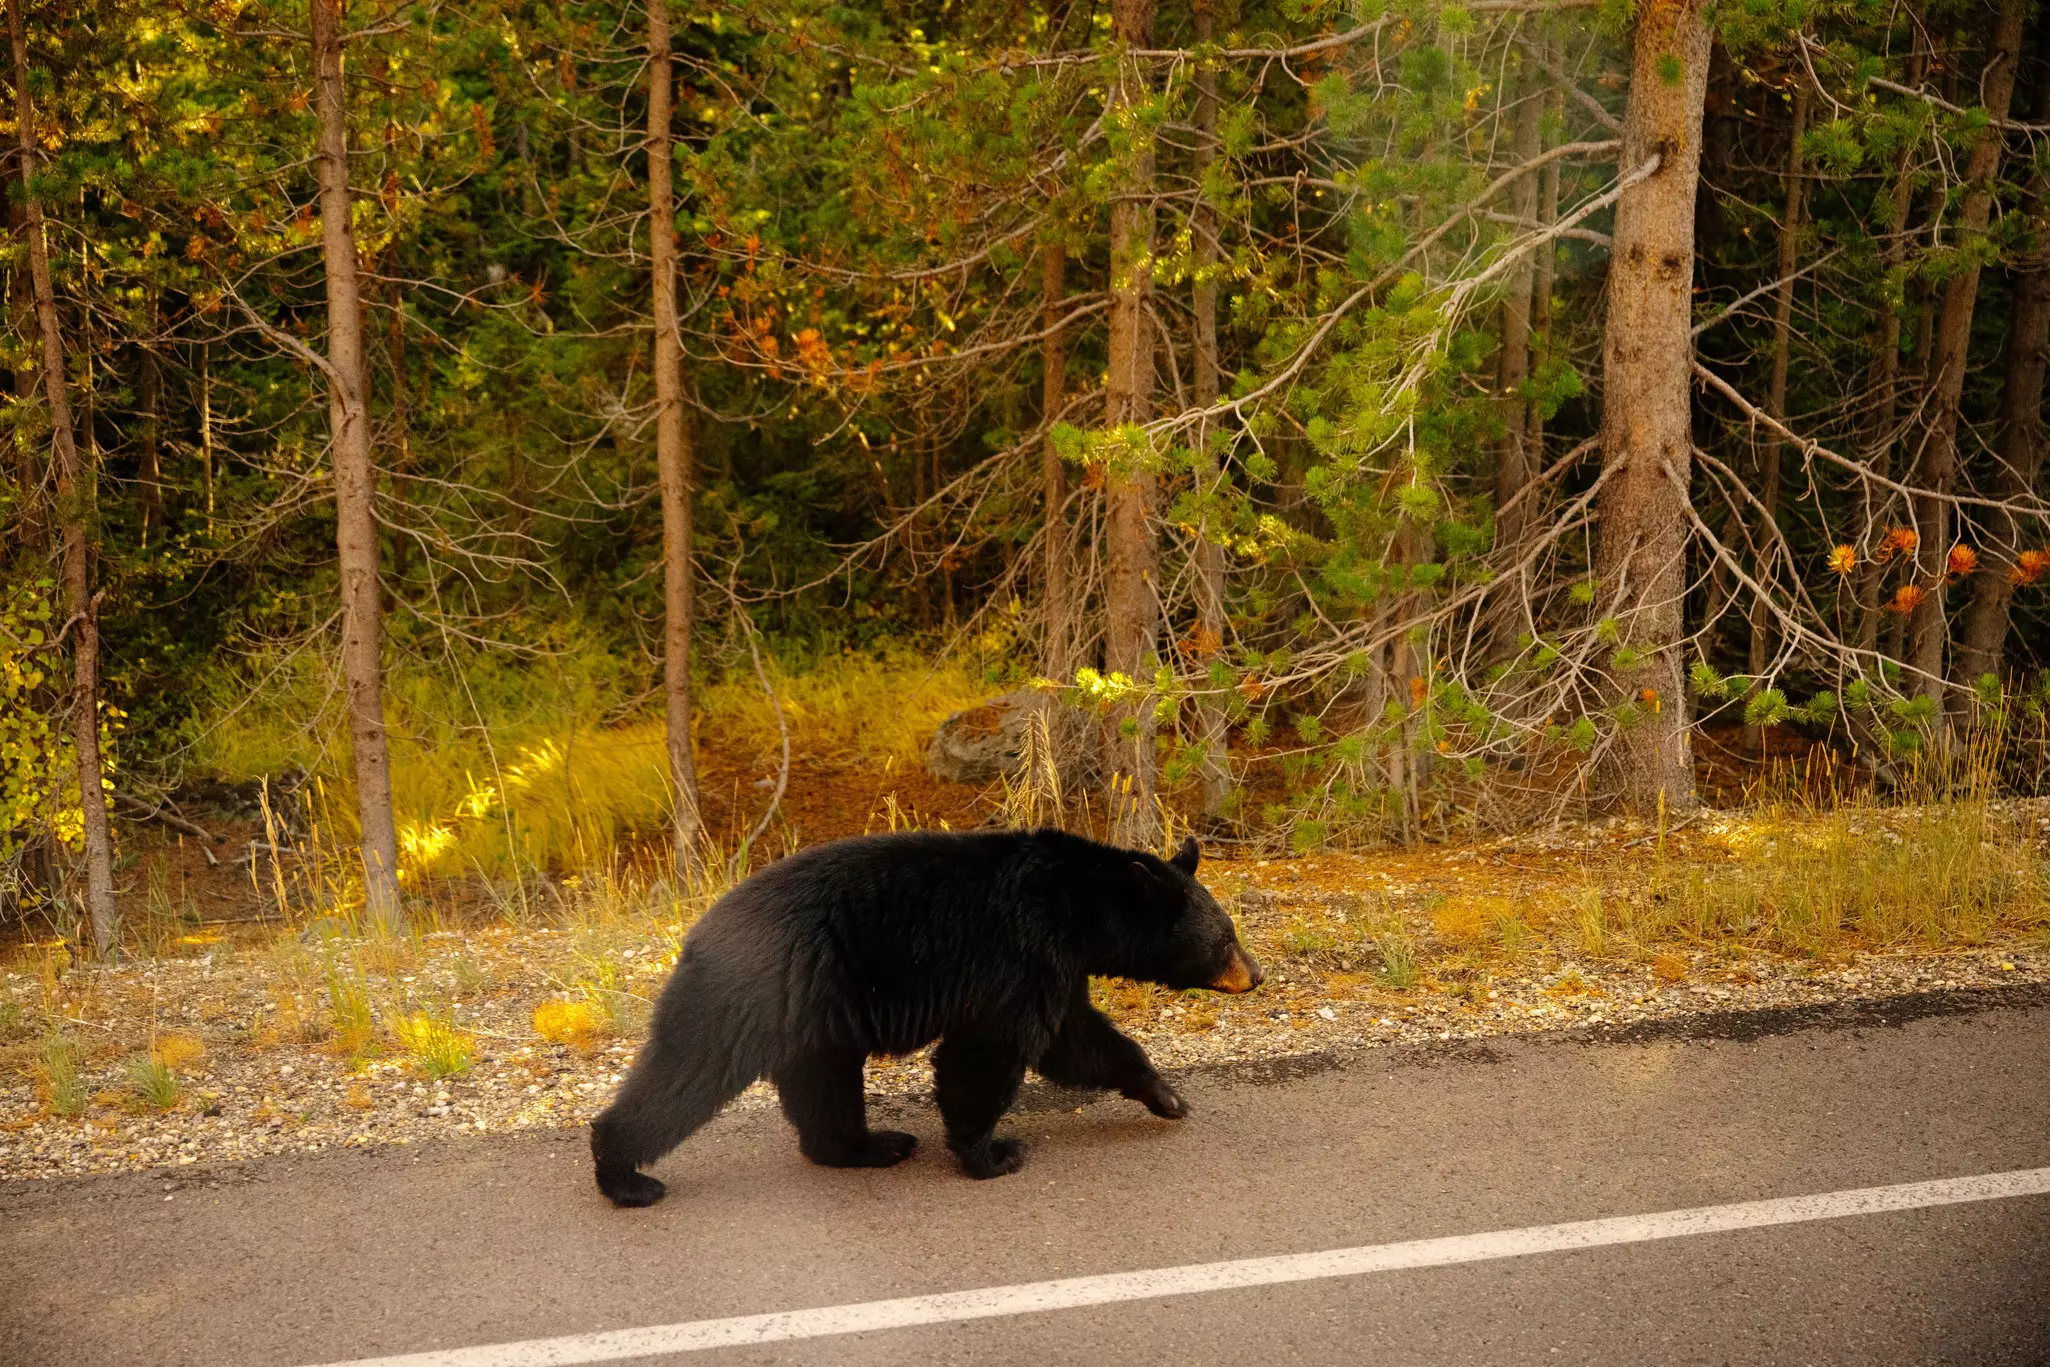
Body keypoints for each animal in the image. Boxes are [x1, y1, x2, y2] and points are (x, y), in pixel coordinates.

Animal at [589, 829, 1263, 1207]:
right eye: (1226, 937)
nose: (1256, 974)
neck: (1077, 905)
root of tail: (695, 932)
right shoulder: (1021, 953)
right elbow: (990, 1051)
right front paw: (992, 1155)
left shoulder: (1057, 967)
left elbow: (1076, 1040)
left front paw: (1166, 1095)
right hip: (744, 993)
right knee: (687, 1069)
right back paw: (624, 1175)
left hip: (813, 1018)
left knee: (823, 1084)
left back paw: (872, 1145)